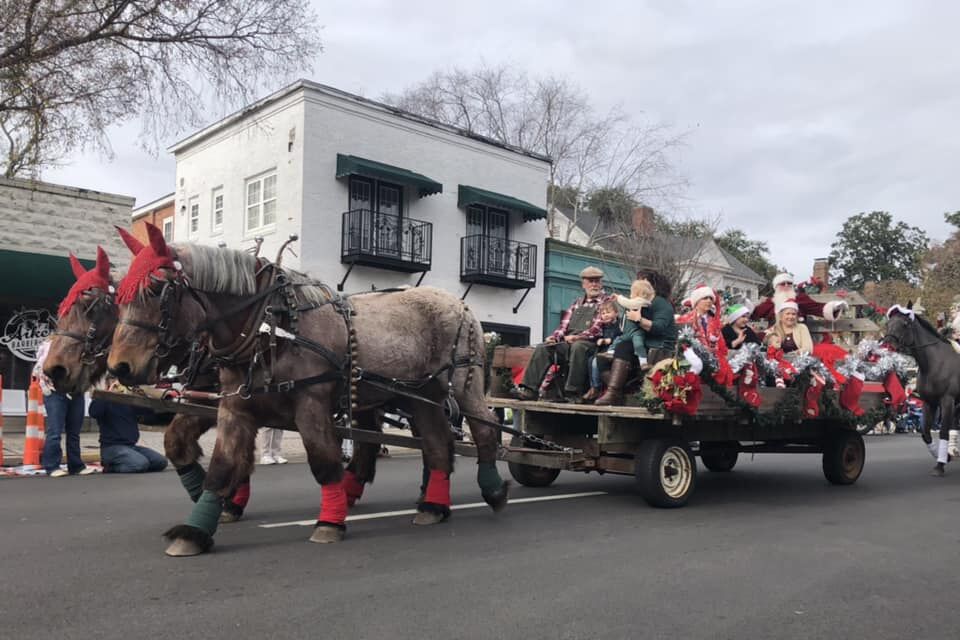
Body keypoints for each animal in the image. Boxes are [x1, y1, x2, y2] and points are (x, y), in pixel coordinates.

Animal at [106, 224, 510, 556]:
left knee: (484, 430)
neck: (269, 325)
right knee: (436, 444)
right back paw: (432, 506)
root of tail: (460, 303)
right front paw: (197, 527)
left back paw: (491, 490)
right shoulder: (234, 407)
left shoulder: (310, 403)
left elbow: (323, 461)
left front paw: (329, 522)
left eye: (156, 290)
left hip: (462, 384)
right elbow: (220, 463)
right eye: (118, 297)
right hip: (419, 396)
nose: (118, 366)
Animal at [880, 304, 960, 476]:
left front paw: (940, 465)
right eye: (888, 323)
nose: (888, 346)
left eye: (905, 324)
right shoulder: (929, 402)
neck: (934, 363)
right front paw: (944, 457)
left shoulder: (947, 401)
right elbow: (926, 434)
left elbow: (943, 432)